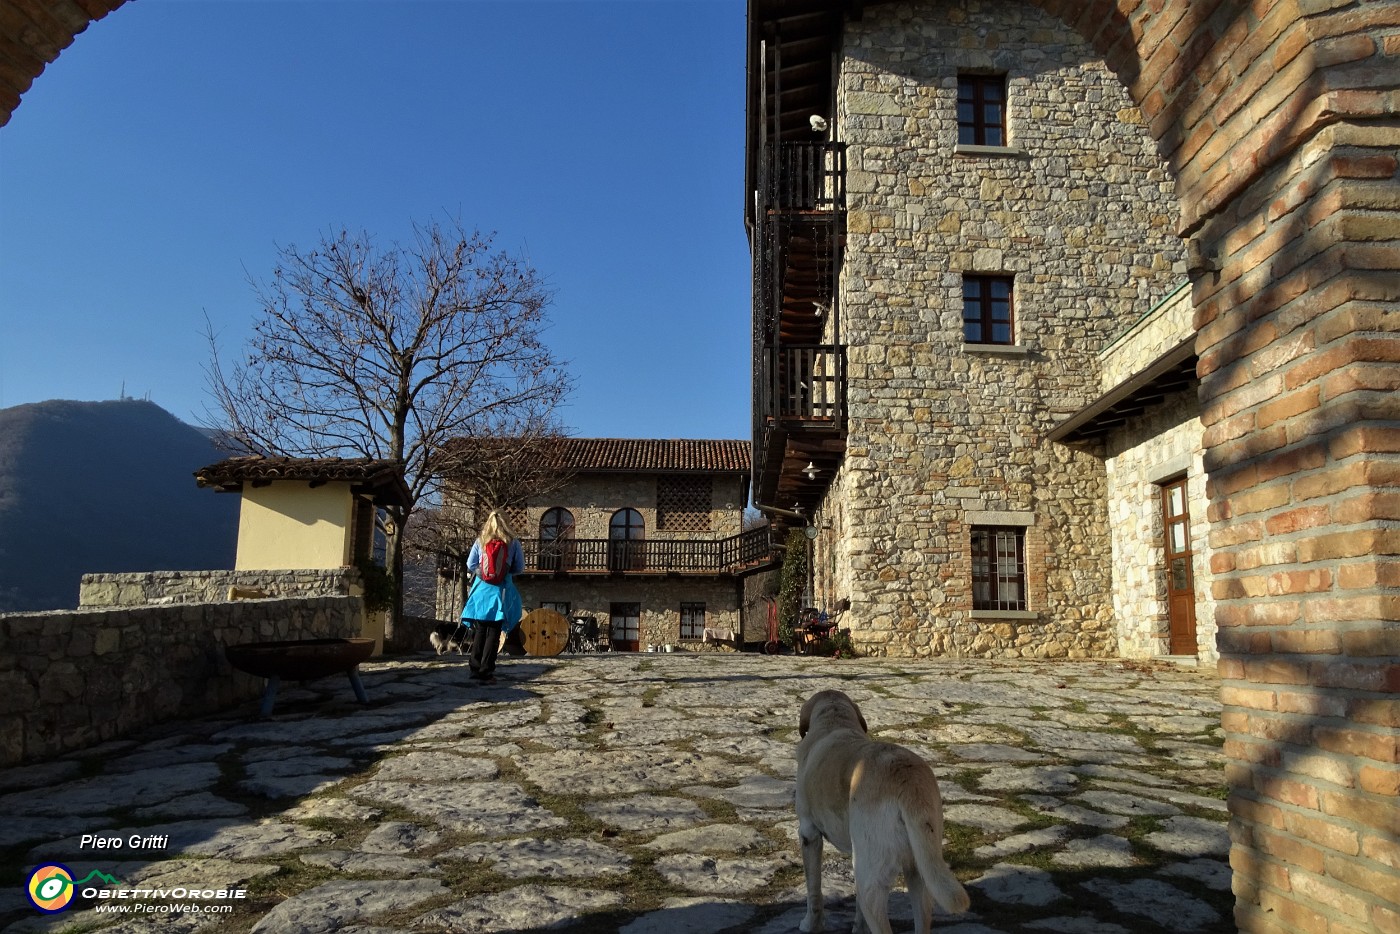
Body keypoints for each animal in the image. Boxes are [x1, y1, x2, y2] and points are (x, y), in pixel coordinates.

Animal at [800, 691, 974, 929]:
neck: (834, 721)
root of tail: (906, 780)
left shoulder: (809, 834)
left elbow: (814, 892)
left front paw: (810, 924)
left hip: (871, 880)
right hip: (920, 867)